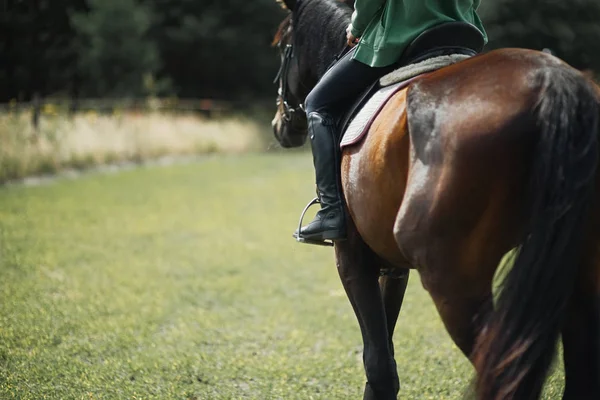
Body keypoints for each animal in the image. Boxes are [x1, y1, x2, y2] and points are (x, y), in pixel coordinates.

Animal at [270, 1, 600, 398]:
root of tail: (551, 79)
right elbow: (384, 356)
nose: (280, 126)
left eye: (282, 46)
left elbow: (378, 363)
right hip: (578, 272)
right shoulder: (393, 266)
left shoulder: (352, 259)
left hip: (453, 280)